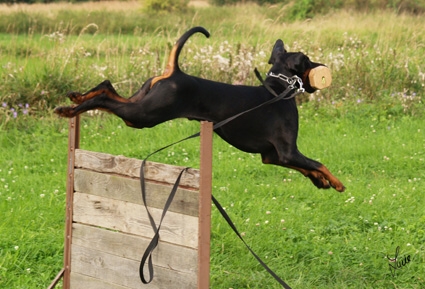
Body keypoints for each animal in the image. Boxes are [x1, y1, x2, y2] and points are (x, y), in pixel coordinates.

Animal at [54, 27, 344, 191]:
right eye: (307, 61)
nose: (322, 68)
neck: (278, 90)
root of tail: (174, 72)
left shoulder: (272, 156)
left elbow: (308, 168)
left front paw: (320, 182)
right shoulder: (287, 152)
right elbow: (319, 163)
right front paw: (336, 182)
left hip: (142, 101)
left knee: (106, 86)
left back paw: (76, 97)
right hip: (144, 115)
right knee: (106, 100)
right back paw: (70, 110)